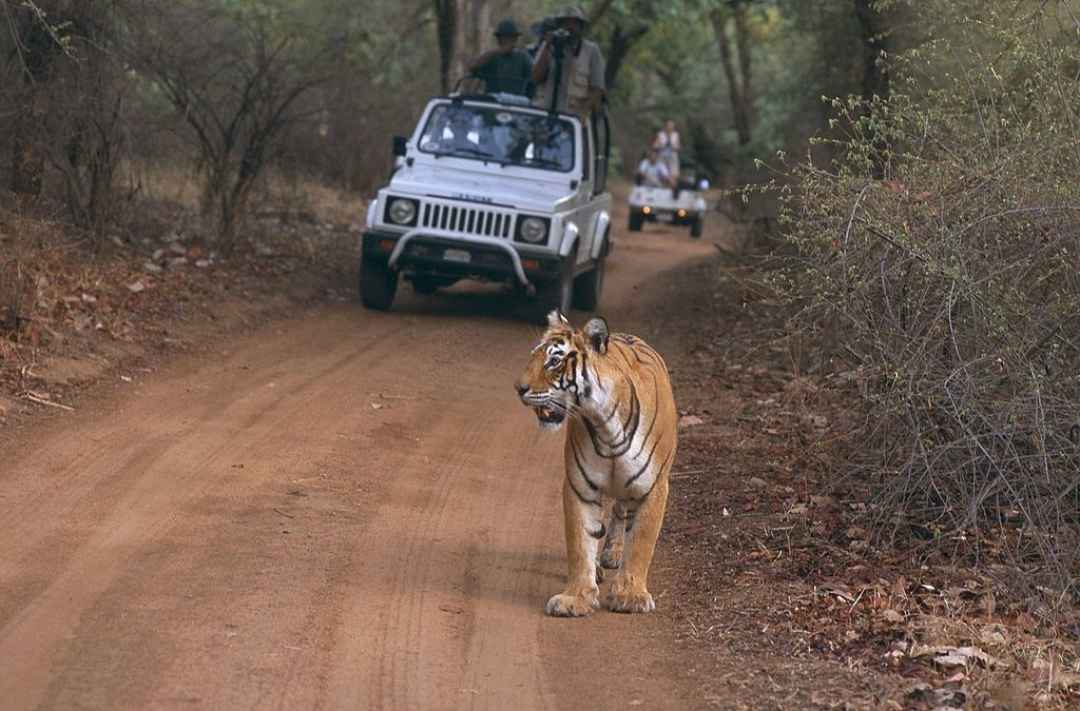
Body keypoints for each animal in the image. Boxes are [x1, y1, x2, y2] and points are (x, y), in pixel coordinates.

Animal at [514, 311, 673, 613]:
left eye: (554, 361)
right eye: (533, 356)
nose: (518, 388)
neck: (605, 424)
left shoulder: (653, 486)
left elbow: (641, 541)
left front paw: (631, 596)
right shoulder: (580, 486)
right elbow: (580, 541)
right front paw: (577, 597)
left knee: (621, 510)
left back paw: (614, 554)